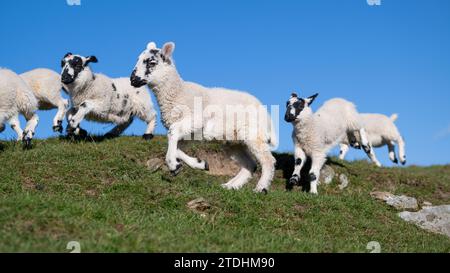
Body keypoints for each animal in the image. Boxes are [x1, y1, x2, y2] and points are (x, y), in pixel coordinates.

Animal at [129, 41, 278, 192]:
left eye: (152, 62)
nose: (133, 80)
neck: (178, 92)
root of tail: (266, 114)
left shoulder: (195, 119)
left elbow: (172, 133)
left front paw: (172, 165)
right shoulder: (190, 133)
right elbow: (177, 147)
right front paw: (199, 164)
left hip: (253, 132)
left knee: (268, 160)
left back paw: (261, 188)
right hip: (233, 141)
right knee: (250, 164)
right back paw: (230, 186)